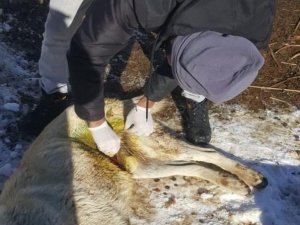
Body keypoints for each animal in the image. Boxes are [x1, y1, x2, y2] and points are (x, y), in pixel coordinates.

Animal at [0, 98, 268, 225]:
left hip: (151, 143)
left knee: (206, 154)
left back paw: (248, 178)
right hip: (139, 166)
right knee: (196, 164)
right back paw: (238, 180)